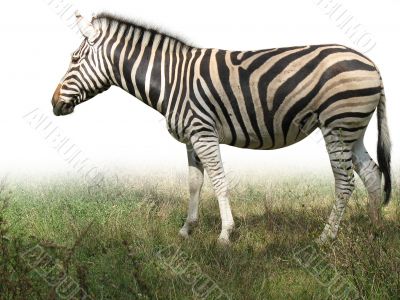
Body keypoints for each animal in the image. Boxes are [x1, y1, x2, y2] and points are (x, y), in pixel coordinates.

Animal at [51, 12, 392, 246]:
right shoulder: (191, 138)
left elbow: (219, 182)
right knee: (372, 173)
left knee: (345, 182)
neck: (172, 80)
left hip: (337, 124)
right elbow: (194, 184)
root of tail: (372, 64)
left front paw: (225, 234)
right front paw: (187, 229)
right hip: (352, 128)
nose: (54, 103)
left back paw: (326, 237)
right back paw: (375, 231)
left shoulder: (204, 133)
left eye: (75, 59)